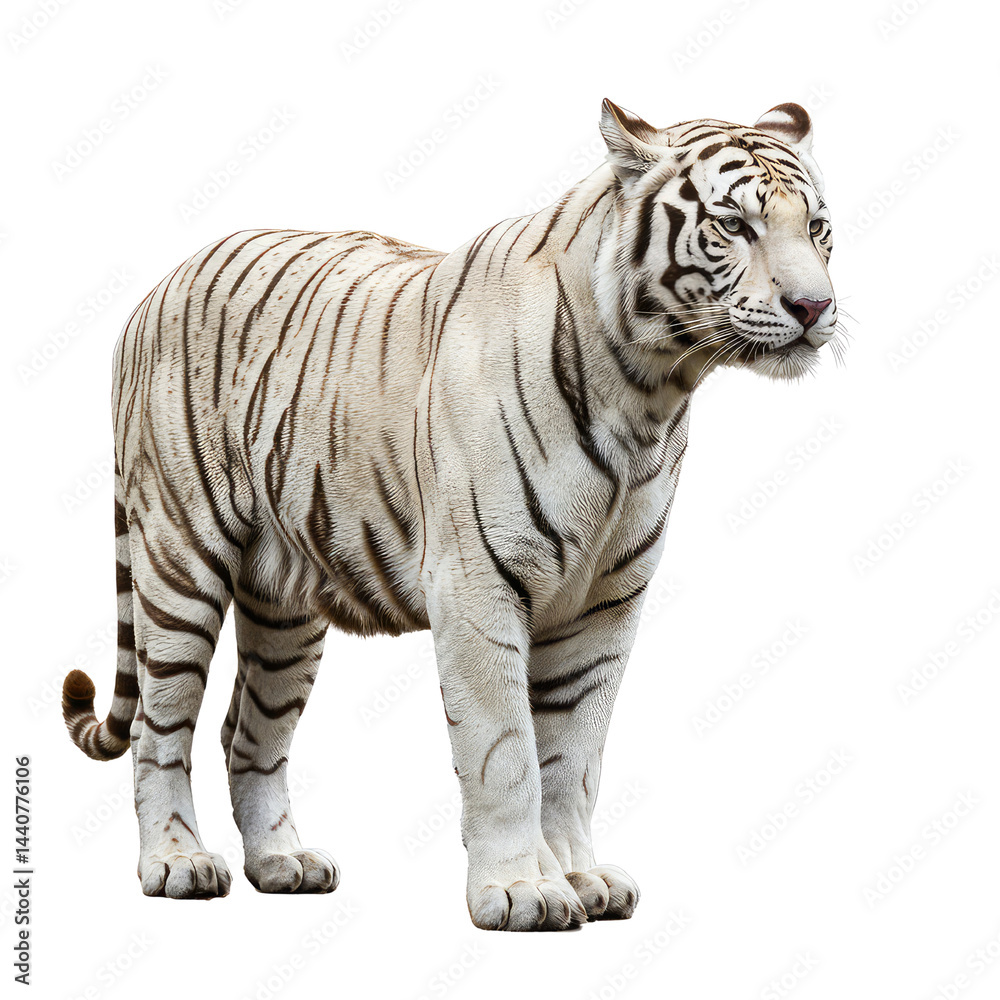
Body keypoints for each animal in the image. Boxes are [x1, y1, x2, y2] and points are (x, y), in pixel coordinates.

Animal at [61, 99, 838, 931]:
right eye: (734, 225)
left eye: (818, 228)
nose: (814, 306)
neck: (650, 391)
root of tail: (158, 287)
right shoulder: (479, 583)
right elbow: (507, 752)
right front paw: (522, 890)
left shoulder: (606, 602)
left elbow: (574, 755)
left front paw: (579, 876)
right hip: (180, 561)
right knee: (159, 725)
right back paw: (177, 863)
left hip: (283, 602)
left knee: (249, 731)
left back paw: (282, 862)